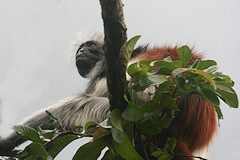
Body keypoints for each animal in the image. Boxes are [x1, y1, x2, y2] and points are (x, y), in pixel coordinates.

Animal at [0, 34, 218, 159]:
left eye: (90, 46)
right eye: (81, 47)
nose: (81, 50)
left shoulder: (104, 74)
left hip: (141, 112)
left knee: (78, 104)